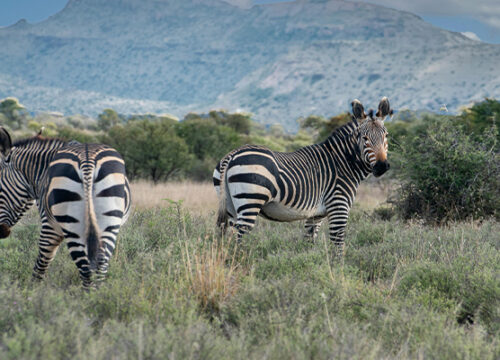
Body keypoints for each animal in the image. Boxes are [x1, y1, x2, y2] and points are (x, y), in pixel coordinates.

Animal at [0, 128, 131, 288]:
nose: (1, 232)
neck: (42, 171)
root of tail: (88, 162)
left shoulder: (50, 227)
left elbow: (41, 263)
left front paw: (31, 291)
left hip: (73, 226)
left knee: (86, 270)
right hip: (108, 224)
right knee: (100, 267)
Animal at [213, 97, 392, 258]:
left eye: (386, 136)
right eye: (365, 138)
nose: (382, 166)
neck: (343, 162)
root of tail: (232, 155)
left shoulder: (315, 216)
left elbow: (309, 241)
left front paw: (311, 265)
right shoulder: (338, 206)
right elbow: (338, 245)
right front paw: (339, 270)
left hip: (229, 206)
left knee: (227, 240)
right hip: (250, 201)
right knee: (240, 240)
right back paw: (241, 264)